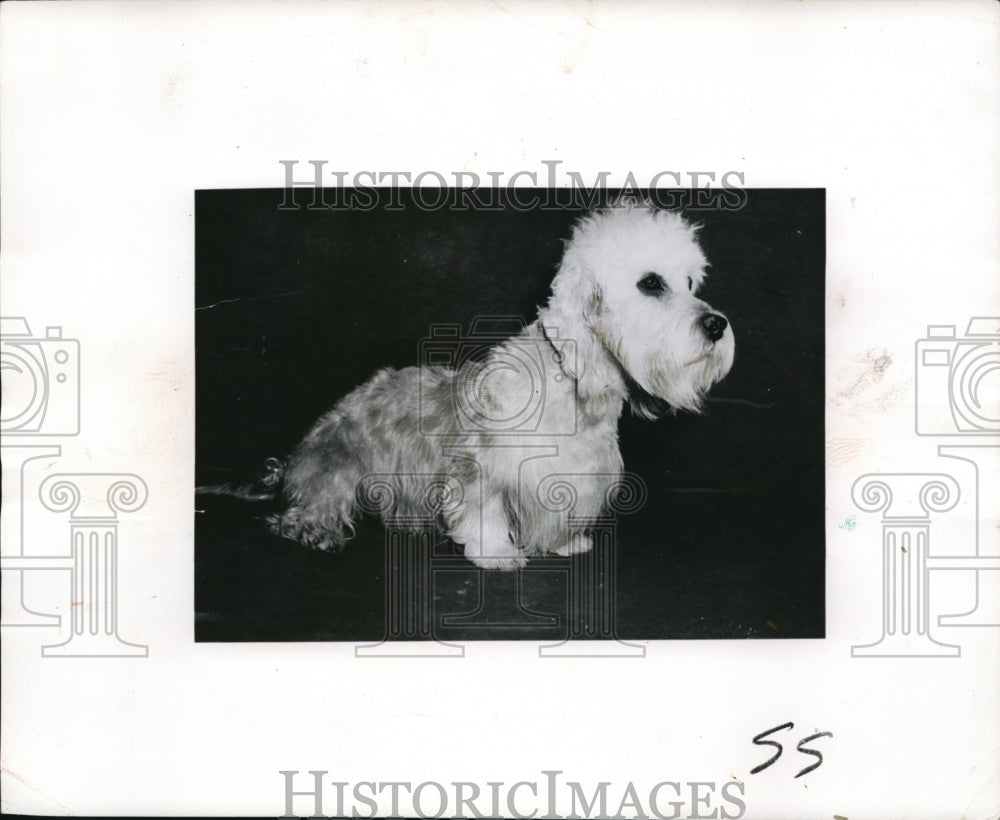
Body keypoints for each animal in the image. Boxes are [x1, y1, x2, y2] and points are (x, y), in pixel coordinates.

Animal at [225, 202, 736, 568]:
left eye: (690, 283)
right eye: (650, 283)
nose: (717, 325)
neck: (571, 381)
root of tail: (293, 460)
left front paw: (566, 543)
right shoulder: (480, 470)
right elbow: (483, 513)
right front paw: (498, 556)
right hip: (337, 470)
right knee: (302, 514)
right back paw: (317, 531)